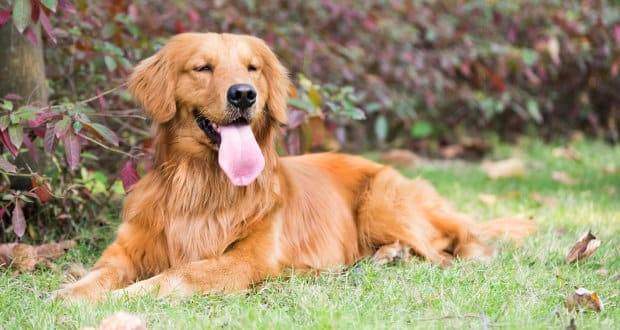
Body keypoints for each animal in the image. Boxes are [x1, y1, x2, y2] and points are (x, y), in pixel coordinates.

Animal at [55, 34, 536, 302]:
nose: (243, 93)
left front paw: (128, 297)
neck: (201, 182)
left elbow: (176, 274)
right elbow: (99, 274)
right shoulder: (125, 250)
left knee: (446, 253)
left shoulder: (246, 262)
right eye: (202, 67)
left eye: (253, 68)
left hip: (382, 200)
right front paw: (70, 294)